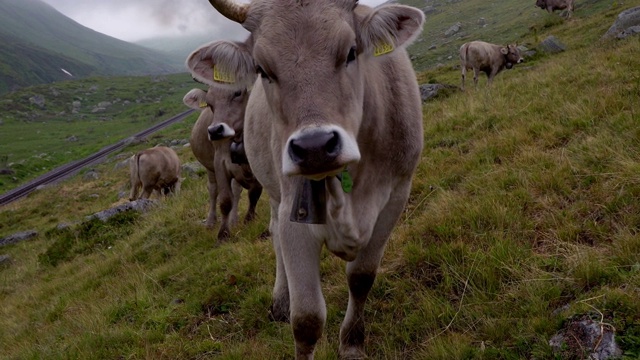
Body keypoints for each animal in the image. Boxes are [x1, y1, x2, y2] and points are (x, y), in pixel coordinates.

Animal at [181, 86, 262, 240]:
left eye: (237, 93)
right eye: (209, 103)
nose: (214, 131)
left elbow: (254, 192)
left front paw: (249, 218)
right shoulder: (220, 162)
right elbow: (225, 200)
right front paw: (223, 234)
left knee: (236, 190)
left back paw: (234, 220)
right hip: (209, 168)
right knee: (213, 190)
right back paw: (211, 221)